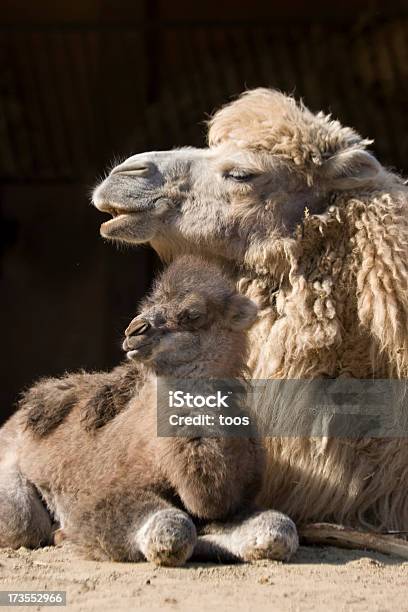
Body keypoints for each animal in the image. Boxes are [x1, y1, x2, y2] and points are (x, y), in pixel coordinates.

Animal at [0, 256, 298, 564]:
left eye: (192, 314)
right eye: (146, 306)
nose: (135, 330)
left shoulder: (236, 502)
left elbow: (280, 527)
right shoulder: (99, 496)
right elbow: (175, 526)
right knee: (26, 524)